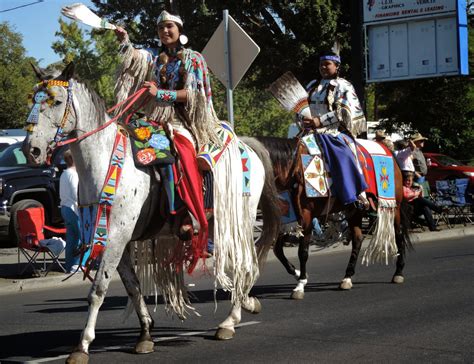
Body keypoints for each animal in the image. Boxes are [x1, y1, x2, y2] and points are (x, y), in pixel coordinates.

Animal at [22, 64, 280, 362]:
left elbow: (98, 290)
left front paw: (82, 346)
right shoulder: (115, 240)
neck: (105, 161)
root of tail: (246, 145)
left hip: (238, 221)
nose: (31, 150)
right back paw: (246, 304)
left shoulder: (114, 237)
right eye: (33, 99)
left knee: (243, 264)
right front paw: (145, 333)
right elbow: (133, 287)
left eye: (56, 101)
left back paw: (230, 320)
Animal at [243, 136, 412, 298]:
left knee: (398, 234)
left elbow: (303, 252)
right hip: (355, 211)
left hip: (393, 206)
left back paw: (398, 272)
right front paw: (298, 273)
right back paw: (347, 277)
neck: (292, 170)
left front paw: (300, 285)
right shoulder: (289, 220)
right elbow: (278, 250)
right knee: (358, 239)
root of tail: (390, 153)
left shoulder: (306, 218)